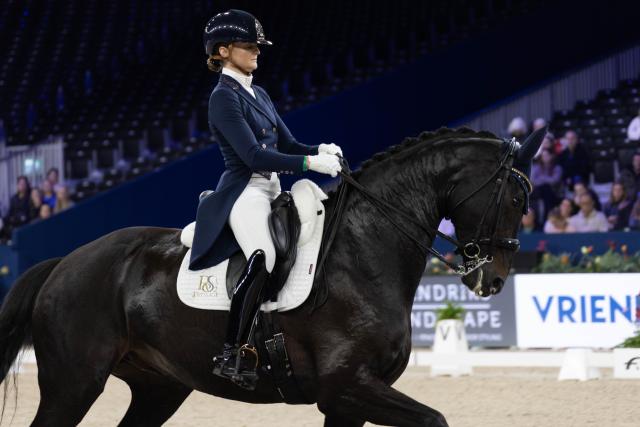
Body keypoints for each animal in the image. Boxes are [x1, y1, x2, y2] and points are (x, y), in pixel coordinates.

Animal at [0, 127, 544, 426]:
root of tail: (65, 263)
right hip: (73, 383)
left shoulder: (347, 402)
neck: (362, 252)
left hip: (159, 387)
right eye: (517, 197)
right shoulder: (347, 386)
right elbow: (436, 418)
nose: (492, 281)